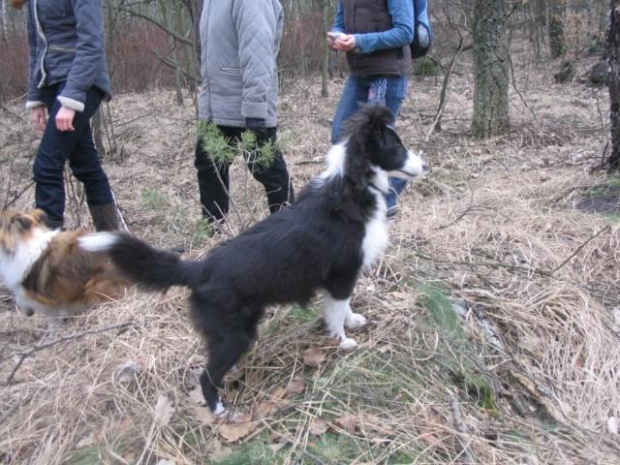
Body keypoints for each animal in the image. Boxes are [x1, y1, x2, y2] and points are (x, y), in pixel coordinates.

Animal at [81, 104, 426, 410]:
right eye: (396, 147)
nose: (425, 166)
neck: (354, 182)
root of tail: (199, 269)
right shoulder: (342, 272)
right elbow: (337, 310)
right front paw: (342, 342)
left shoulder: (341, 277)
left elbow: (342, 306)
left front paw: (352, 321)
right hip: (234, 334)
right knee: (207, 376)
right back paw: (219, 410)